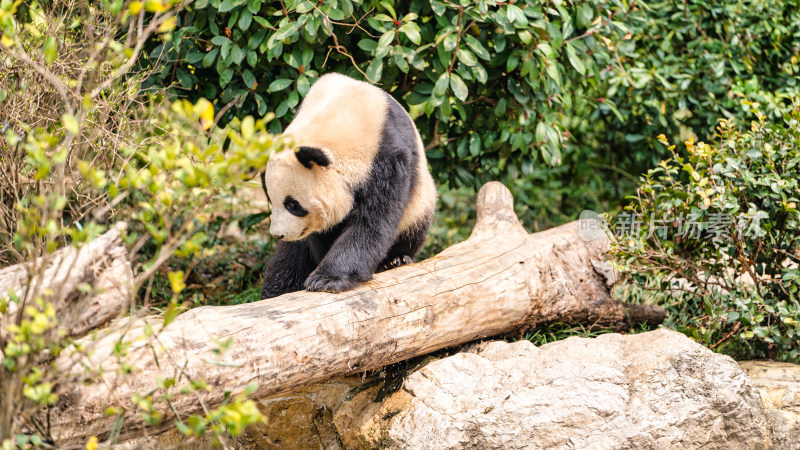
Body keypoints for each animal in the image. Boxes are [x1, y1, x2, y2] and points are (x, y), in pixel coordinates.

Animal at [260, 74, 438, 298]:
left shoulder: (388, 159)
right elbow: (325, 232)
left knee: (414, 228)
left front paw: (326, 279)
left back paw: (395, 260)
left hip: (421, 201)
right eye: (271, 200)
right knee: (286, 266)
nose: (278, 234)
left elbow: (372, 222)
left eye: (292, 205)